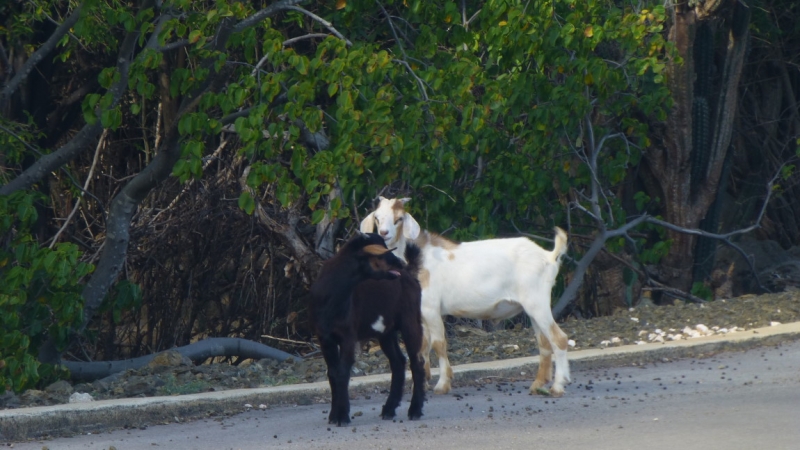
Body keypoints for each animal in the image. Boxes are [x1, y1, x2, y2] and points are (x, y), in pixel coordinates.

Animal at [308, 232, 424, 426]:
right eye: (383, 254)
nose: (400, 263)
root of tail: (410, 275)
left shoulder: (347, 335)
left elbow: (342, 372)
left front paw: (342, 416)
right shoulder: (324, 338)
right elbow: (332, 373)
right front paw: (333, 415)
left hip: (410, 320)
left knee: (417, 361)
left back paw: (415, 410)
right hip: (387, 332)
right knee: (398, 361)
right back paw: (389, 409)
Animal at [360, 198, 572, 398]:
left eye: (399, 219)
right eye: (377, 217)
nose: (384, 233)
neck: (416, 259)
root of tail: (548, 257)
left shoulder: (431, 309)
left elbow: (438, 344)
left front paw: (442, 385)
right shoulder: (420, 313)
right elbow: (422, 347)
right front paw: (421, 384)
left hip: (537, 302)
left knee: (559, 339)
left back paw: (558, 387)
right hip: (532, 308)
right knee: (544, 343)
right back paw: (538, 385)